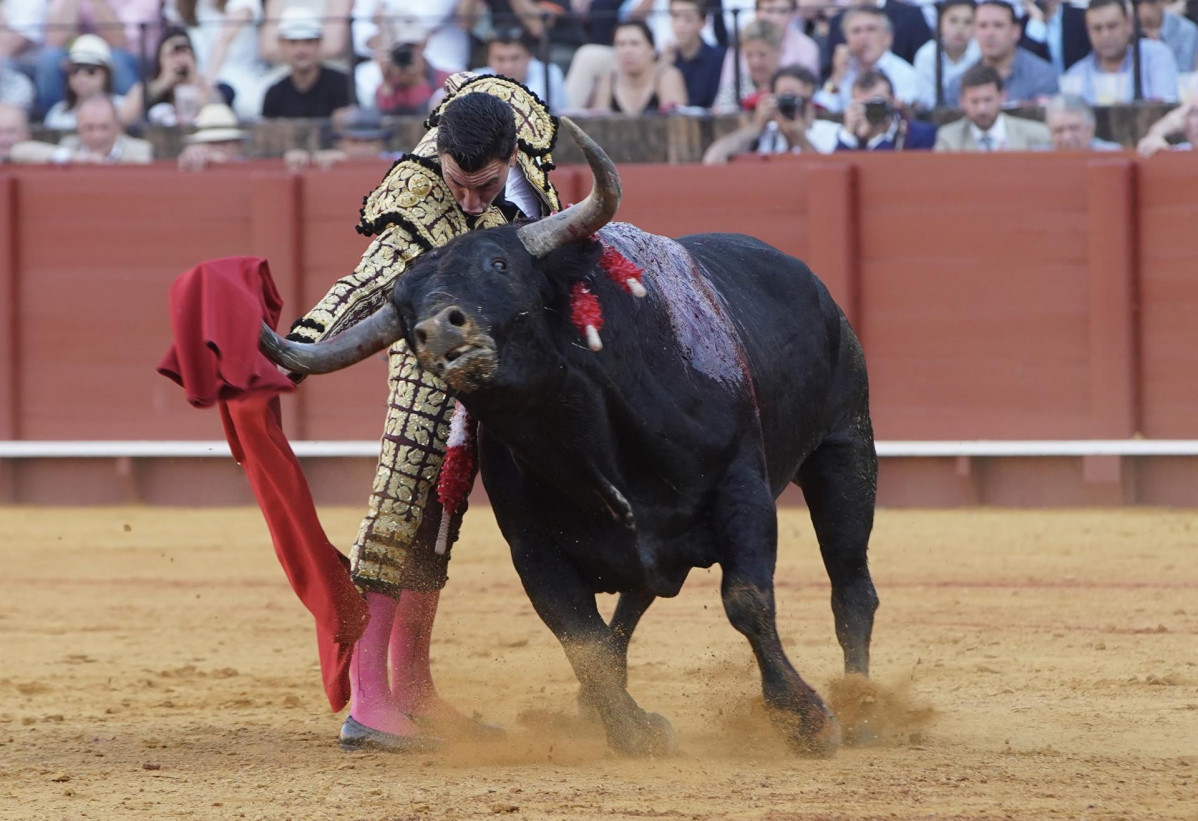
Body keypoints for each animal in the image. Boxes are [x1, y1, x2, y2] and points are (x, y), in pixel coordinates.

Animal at [262, 119, 881, 757]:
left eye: (499, 265)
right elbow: (582, 639)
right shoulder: (534, 549)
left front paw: (807, 719)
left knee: (850, 584)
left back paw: (861, 708)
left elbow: (748, 601)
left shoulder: (743, 493)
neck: (580, 433)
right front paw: (633, 730)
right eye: (405, 316)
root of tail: (807, 279)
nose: (439, 329)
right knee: (631, 600)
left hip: (845, 448)